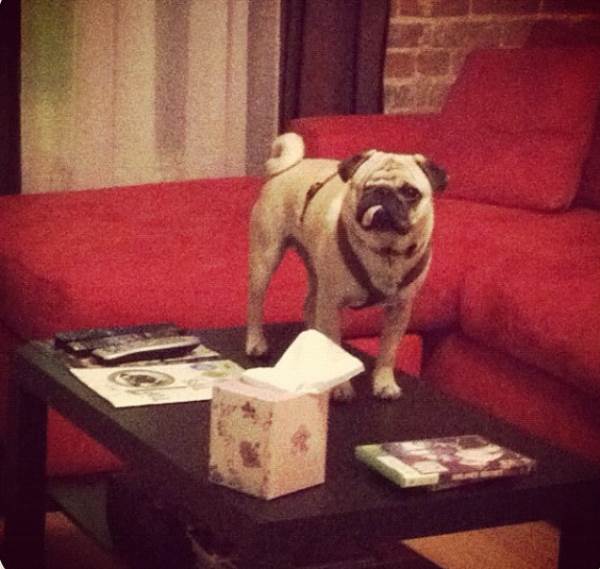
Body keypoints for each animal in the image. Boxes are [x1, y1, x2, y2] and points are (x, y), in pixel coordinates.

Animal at [244, 133, 446, 400]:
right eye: (366, 187)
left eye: (410, 192)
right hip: (266, 258)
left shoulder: (400, 309)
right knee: (256, 303)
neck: (386, 252)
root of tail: (292, 166)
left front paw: (384, 383)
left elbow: (388, 351)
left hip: (316, 272)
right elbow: (336, 343)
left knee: (310, 306)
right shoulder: (333, 303)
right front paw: (341, 388)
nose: (382, 192)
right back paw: (256, 343)